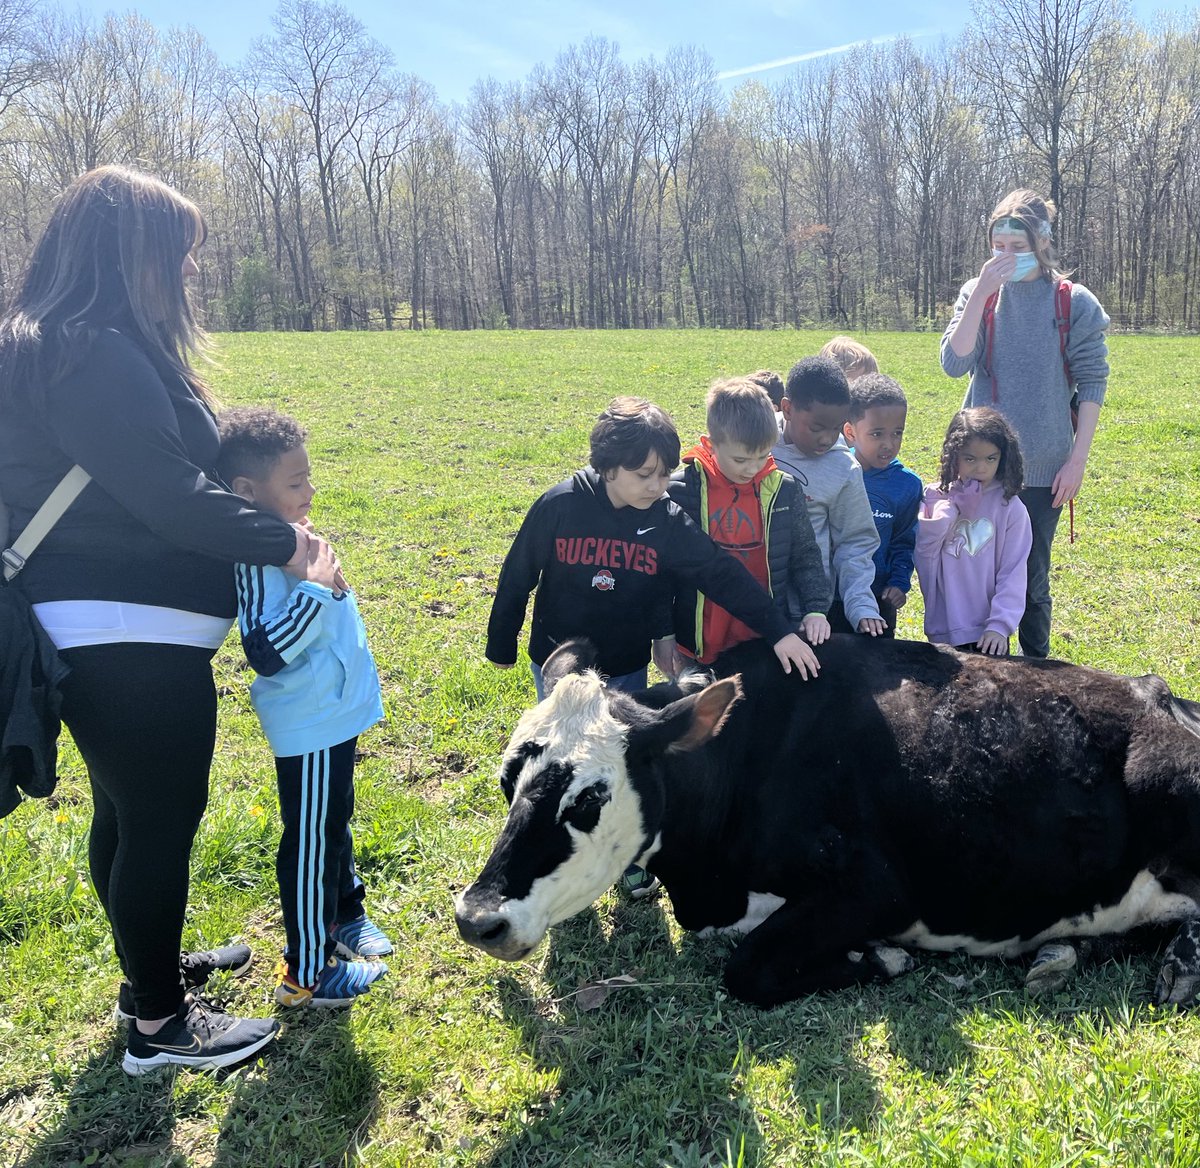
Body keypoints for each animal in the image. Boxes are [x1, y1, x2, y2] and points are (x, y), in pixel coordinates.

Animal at [451, 633, 1200, 1008]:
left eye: (587, 799)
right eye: (506, 780)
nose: (478, 918)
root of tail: (1164, 694)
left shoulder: (877, 888)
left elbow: (748, 970)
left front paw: (884, 957)